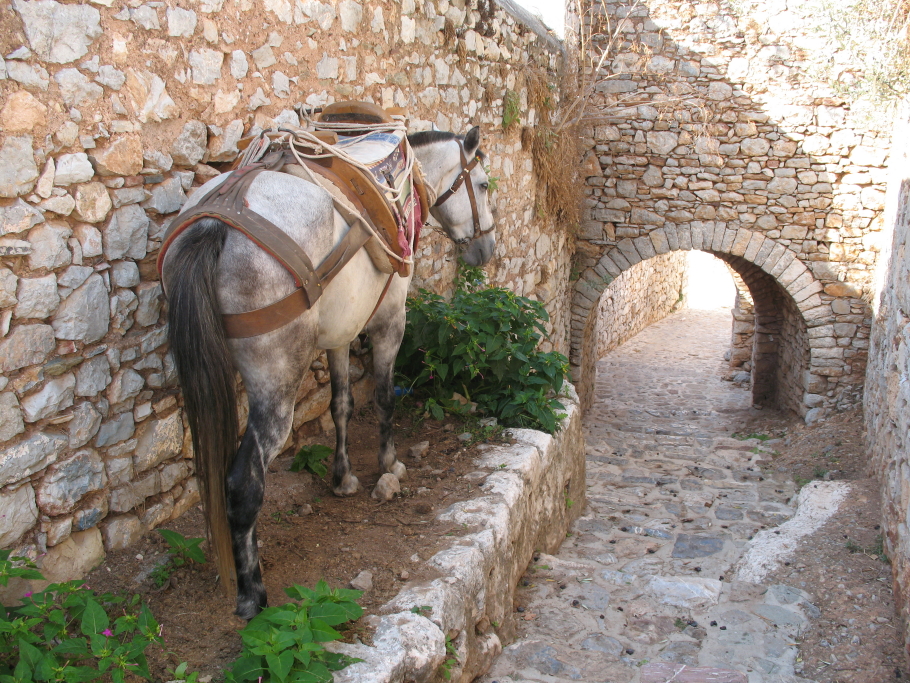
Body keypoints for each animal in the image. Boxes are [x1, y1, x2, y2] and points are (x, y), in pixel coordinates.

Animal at [160, 124, 496, 620]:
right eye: (485, 185)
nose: (487, 248)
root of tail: (214, 223)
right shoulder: (390, 319)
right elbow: (383, 397)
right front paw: (388, 464)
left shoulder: (341, 328)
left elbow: (341, 403)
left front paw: (342, 477)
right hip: (276, 385)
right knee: (243, 483)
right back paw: (252, 593)